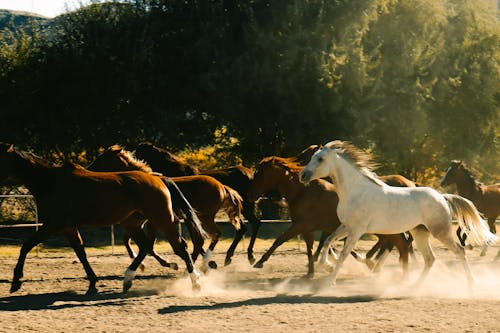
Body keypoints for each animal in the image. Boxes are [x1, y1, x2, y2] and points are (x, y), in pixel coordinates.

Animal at [0, 143, 208, 294]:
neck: (51, 181)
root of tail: (158, 179)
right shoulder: (68, 227)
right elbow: (81, 252)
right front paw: (93, 282)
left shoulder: (53, 224)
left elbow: (26, 245)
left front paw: (16, 281)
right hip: (135, 223)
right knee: (146, 247)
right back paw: (129, 279)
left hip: (162, 220)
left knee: (180, 247)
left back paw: (195, 283)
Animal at [91, 144, 247, 268]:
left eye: (101, 158)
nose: (89, 168)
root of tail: (223, 187)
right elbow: (137, 242)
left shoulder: (153, 223)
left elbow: (151, 246)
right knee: (205, 239)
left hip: (205, 217)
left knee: (212, 235)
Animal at [134, 141, 266, 264]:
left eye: (138, 153)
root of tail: (251, 174)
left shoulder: (187, 215)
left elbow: (195, 239)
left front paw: (207, 261)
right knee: (244, 227)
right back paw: (231, 257)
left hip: (245, 207)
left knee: (253, 224)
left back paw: (248, 256)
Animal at [248, 156, 412, 278]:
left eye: (258, 173)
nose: (251, 195)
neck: (302, 192)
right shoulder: (309, 229)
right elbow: (310, 248)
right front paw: (311, 272)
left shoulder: (300, 226)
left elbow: (279, 240)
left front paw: (259, 262)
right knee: (393, 243)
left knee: (398, 244)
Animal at [296, 140, 496, 286]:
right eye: (312, 157)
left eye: (320, 159)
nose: (302, 175)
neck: (355, 191)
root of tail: (442, 197)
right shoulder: (346, 226)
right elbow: (328, 241)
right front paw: (325, 265)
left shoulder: (357, 230)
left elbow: (344, 253)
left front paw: (330, 281)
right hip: (419, 232)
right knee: (430, 259)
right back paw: (414, 286)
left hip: (440, 232)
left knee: (459, 251)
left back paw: (471, 284)